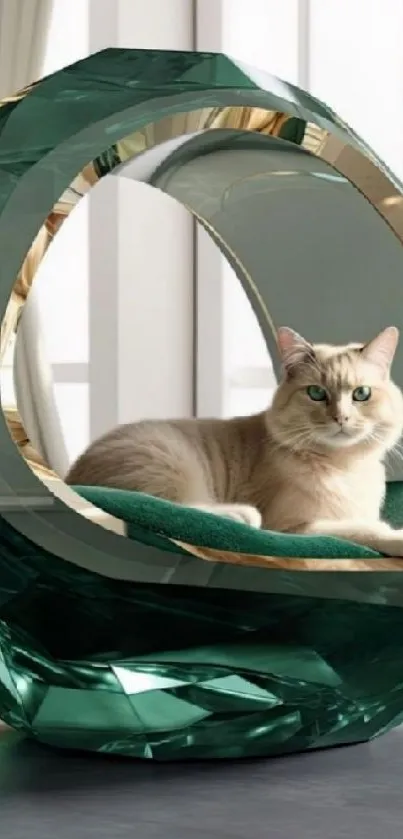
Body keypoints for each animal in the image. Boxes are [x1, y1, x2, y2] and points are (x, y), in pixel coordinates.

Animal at [66, 326, 403, 556]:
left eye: (361, 394)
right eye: (316, 393)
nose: (341, 418)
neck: (344, 468)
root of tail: (70, 478)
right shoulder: (294, 527)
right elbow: (366, 530)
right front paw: (392, 536)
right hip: (168, 462)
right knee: (176, 507)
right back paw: (240, 514)